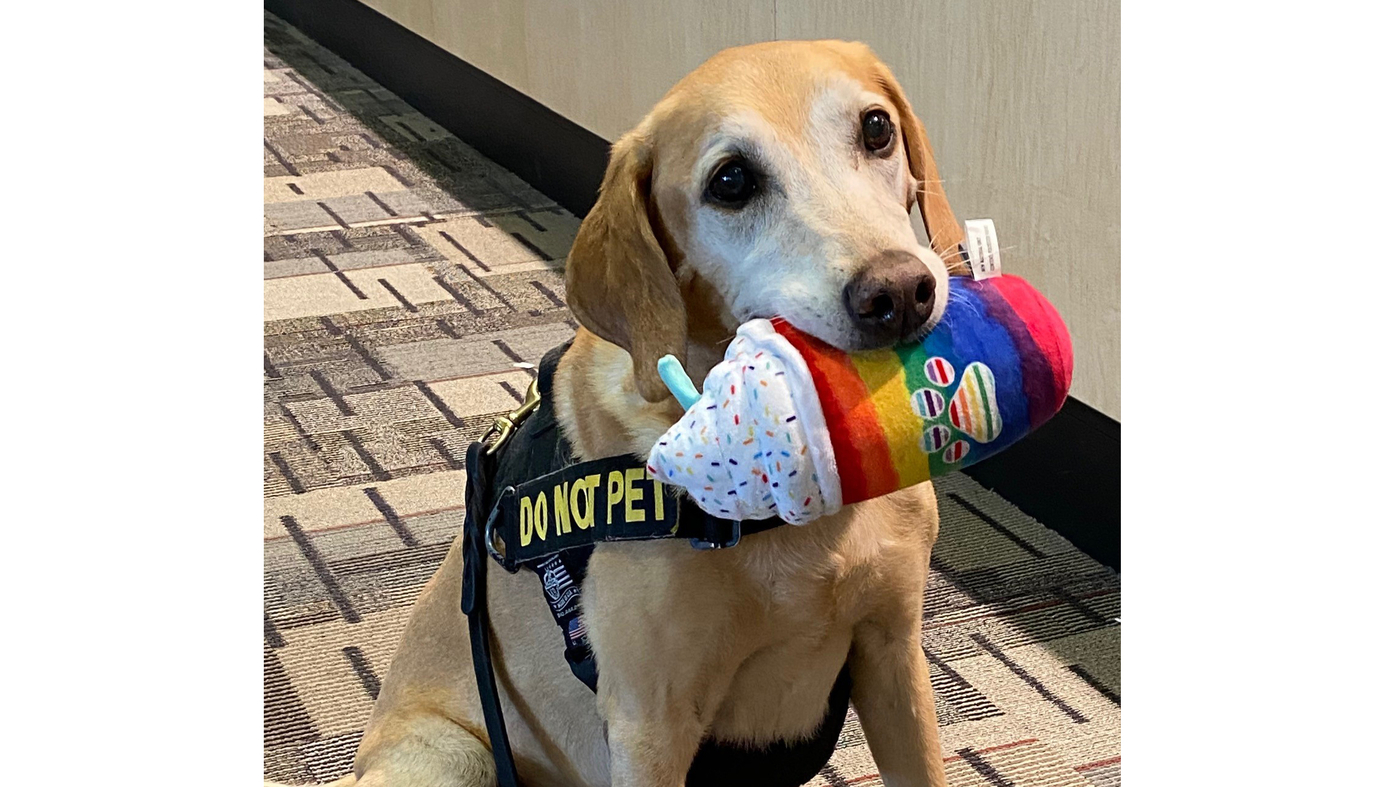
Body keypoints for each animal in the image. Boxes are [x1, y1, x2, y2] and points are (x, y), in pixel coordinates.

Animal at [289, 39, 968, 784]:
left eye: (876, 128)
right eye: (731, 181)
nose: (900, 293)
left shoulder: (894, 654)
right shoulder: (650, 723)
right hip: (454, 756)